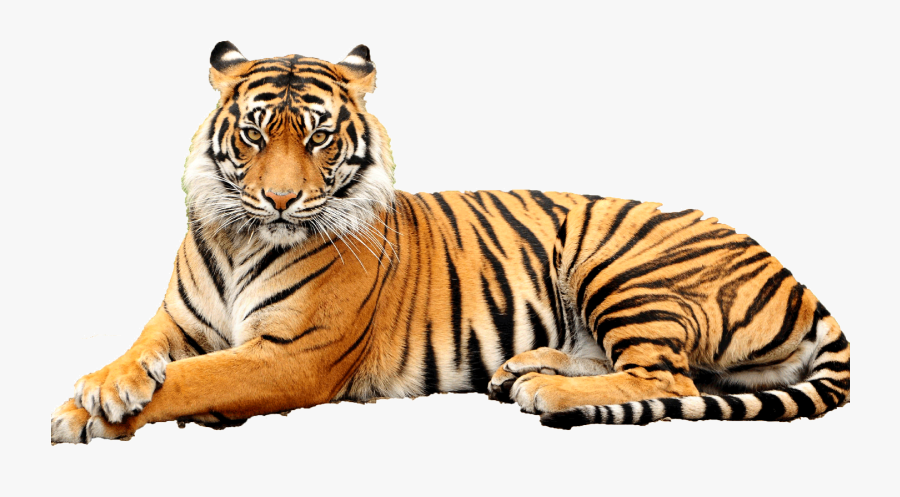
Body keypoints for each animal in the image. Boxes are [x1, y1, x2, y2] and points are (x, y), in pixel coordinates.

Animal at [50, 42, 850, 443]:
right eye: (254, 133)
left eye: (317, 137)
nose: (279, 199)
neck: (242, 236)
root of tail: (799, 281)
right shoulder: (176, 322)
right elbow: (142, 353)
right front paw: (103, 386)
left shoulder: (290, 356)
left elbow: (195, 380)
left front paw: (87, 413)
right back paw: (522, 369)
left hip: (622, 265)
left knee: (670, 379)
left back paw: (546, 389)